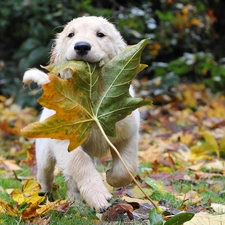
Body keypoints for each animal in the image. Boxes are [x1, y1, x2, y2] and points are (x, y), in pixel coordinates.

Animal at [22, 16, 139, 213]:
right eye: (71, 34)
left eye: (101, 34)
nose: (82, 46)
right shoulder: (66, 142)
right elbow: (80, 163)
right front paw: (98, 195)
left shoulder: (128, 133)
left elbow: (127, 167)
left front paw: (111, 177)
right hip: (44, 151)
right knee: (45, 174)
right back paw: (44, 196)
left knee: (70, 180)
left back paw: (75, 201)